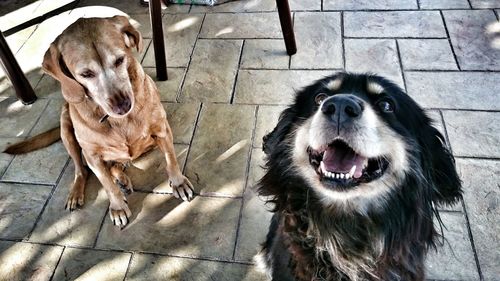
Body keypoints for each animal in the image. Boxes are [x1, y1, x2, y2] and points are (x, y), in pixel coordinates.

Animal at [5, 15, 193, 226]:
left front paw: (178, 183)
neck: (117, 121)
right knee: (82, 170)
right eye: (86, 74)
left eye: (120, 60)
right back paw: (79, 192)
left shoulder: (161, 131)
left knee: (117, 164)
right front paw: (117, 207)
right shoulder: (93, 156)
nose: (123, 106)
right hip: (66, 130)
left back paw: (122, 178)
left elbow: (171, 160)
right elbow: (107, 185)